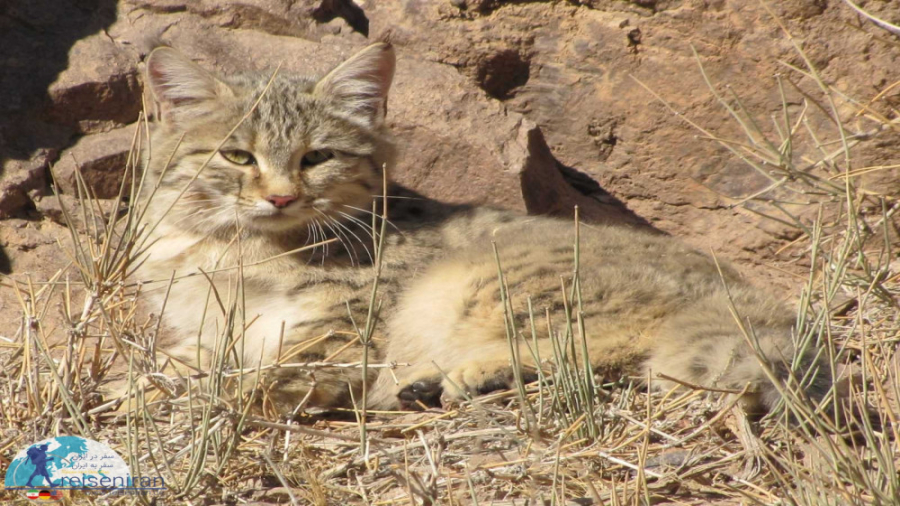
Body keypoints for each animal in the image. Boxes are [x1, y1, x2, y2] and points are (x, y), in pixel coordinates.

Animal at [135, 42, 828, 416]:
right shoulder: (206, 329)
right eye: (237, 156)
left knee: (602, 346)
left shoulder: (337, 336)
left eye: (317, 157)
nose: (280, 197)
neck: (239, 247)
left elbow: (252, 378)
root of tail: (747, 293)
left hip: (492, 284)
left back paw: (453, 376)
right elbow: (173, 364)